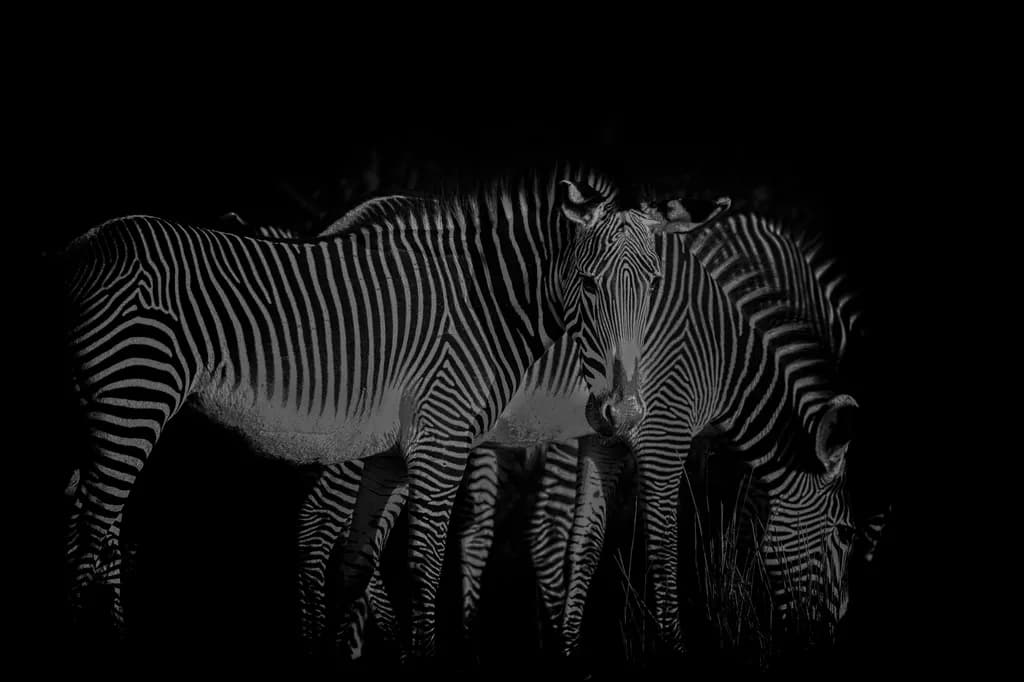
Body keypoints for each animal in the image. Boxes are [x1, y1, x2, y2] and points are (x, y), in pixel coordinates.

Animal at [58, 164, 710, 659]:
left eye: (653, 284)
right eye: (590, 283)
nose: (622, 413)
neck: (489, 304)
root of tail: (82, 248)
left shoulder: (393, 452)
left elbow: (358, 563)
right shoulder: (441, 439)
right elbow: (424, 565)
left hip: (96, 411)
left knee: (89, 533)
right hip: (133, 397)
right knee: (91, 538)